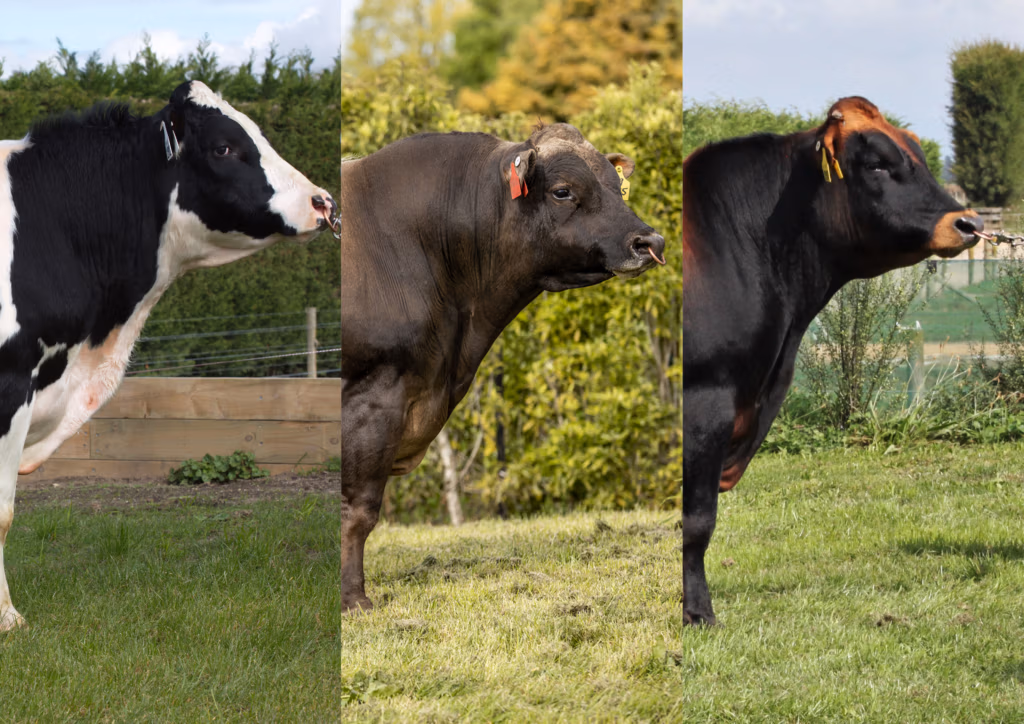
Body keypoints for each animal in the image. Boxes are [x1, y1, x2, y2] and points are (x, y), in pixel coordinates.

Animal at [340, 124, 666, 612]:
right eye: (563, 190)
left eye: (616, 184)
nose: (650, 242)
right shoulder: (373, 395)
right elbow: (358, 510)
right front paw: (354, 599)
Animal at [683, 97, 983, 626]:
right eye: (877, 163)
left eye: (918, 155)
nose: (968, 223)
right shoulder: (705, 400)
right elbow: (697, 522)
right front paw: (698, 615)